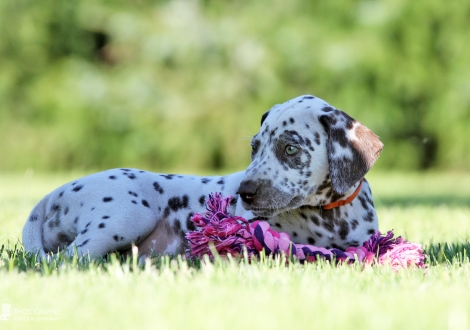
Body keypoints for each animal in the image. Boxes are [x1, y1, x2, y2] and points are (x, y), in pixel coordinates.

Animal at [22, 94, 382, 256]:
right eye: (254, 147)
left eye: (290, 148)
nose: (244, 193)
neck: (331, 216)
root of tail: (51, 197)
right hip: (126, 218)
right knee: (68, 259)